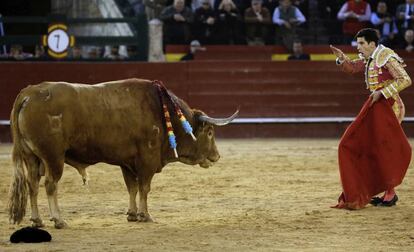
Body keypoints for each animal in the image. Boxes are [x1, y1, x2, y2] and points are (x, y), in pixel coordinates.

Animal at [8, 79, 238, 228]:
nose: (216, 156)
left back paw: (37, 221)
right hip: (53, 157)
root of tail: (28, 94)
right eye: (210, 132)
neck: (164, 113)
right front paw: (146, 215)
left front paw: (132, 214)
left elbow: (132, 188)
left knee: (32, 185)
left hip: (32, 157)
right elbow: (144, 188)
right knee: (50, 184)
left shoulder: (127, 162)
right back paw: (58, 220)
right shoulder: (147, 160)